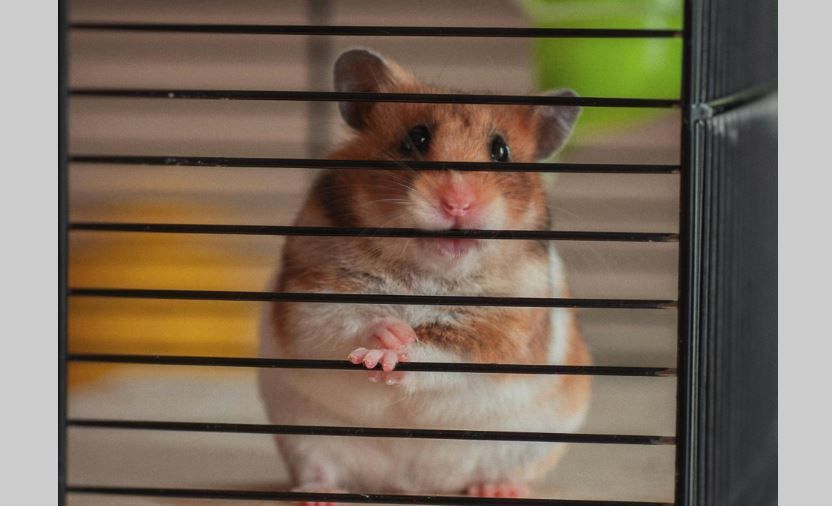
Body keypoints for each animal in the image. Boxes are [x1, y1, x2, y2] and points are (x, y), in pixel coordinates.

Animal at [258, 48, 591, 503]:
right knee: (320, 468)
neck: (426, 273)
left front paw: (392, 353)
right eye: (416, 138)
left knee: (506, 471)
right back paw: (318, 494)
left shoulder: (501, 328)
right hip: (304, 437)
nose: (458, 204)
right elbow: (344, 322)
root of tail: (410, 484)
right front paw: (384, 338)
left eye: (501, 151)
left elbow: (442, 352)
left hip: (534, 442)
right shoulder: (312, 294)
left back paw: (498, 490)